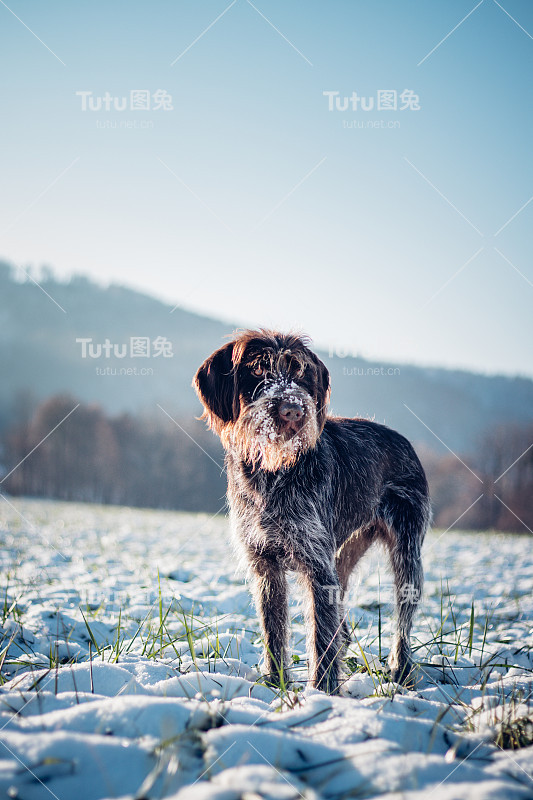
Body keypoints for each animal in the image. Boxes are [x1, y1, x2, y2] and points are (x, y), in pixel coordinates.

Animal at [193, 332, 430, 692]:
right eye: (258, 369)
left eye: (299, 372)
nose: (292, 410)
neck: (273, 472)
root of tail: (404, 440)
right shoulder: (266, 566)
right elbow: (274, 632)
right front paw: (275, 683)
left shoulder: (316, 565)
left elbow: (321, 635)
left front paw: (324, 692)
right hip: (343, 555)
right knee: (342, 612)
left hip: (406, 553)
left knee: (402, 620)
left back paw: (401, 669)